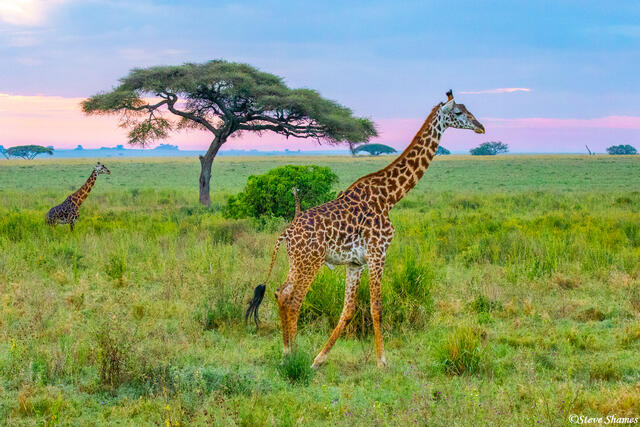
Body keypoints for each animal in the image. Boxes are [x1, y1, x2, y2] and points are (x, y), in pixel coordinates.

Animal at [246, 91, 485, 368]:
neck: (390, 196)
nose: (481, 127)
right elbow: (376, 306)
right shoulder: (378, 252)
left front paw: (319, 359)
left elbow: (348, 309)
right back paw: (292, 355)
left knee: (280, 293)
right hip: (311, 261)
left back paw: (287, 352)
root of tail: (286, 233)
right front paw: (382, 361)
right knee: (293, 299)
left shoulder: (355, 262)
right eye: (457, 113)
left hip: (297, 260)